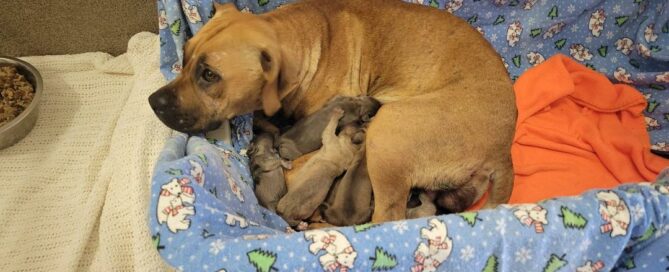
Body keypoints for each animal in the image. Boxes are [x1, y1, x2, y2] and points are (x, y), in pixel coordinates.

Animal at [150, 0, 516, 222]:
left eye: (209, 75)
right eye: (185, 56)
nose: (154, 102)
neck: (303, 41)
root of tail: (502, 151)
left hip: (388, 135)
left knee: (386, 219)